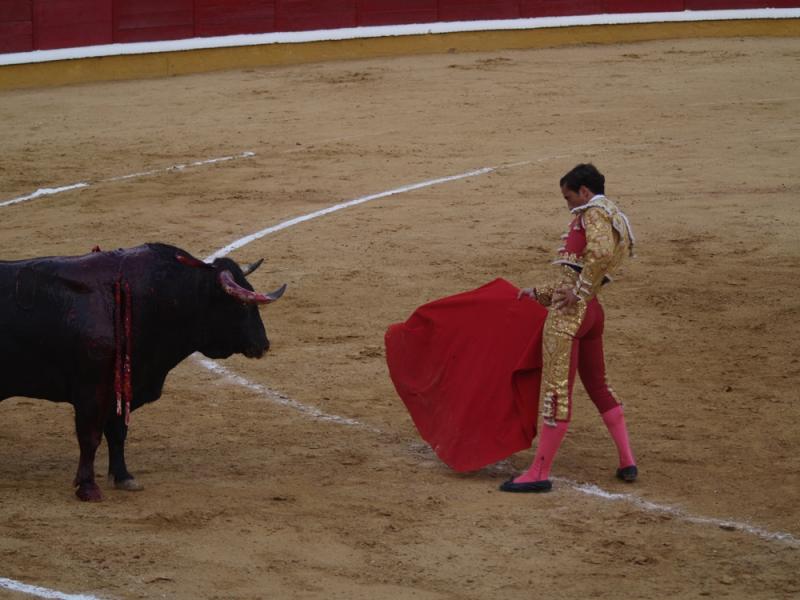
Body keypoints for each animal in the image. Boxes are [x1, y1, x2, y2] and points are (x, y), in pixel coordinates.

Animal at [0, 243, 286, 502]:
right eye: (242, 305)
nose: (263, 344)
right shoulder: (91, 392)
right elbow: (90, 437)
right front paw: (88, 487)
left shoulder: (122, 389)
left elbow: (117, 433)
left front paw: (124, 477)